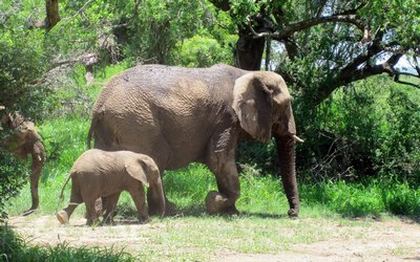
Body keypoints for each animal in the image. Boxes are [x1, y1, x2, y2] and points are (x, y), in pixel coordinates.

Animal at [88, 63, 302, 217]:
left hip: (113, 128)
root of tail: (99, 104)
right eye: (286, 104)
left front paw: (230, 211)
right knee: (157, 159)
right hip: (137, 123)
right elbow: (219, 160)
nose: (291, 213)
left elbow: (220, 162)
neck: (249, 73)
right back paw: (165, 212)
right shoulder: (226, 118)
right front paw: (214, 202)